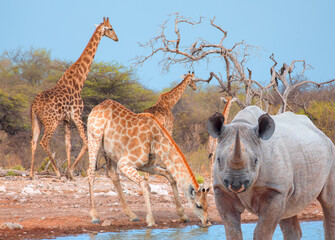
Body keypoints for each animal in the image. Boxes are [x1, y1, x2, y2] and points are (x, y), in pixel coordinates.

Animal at [30, 16, 119, 180]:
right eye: (111, 28)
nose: (117, 38)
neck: (79, 81)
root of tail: (34, 105)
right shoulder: (76, 115)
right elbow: (85, 143)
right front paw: (70, 172)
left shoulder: (66, 119)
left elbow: (68, 145)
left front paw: (70, 173)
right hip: (51, 122)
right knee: (43, 142)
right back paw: (57, 172)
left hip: (36, 120)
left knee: (33, 141)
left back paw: (32, 174)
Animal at [86, 99, 210, 227]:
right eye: (199, 205)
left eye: (208, 205)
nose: (207, 222)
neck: (155, 141)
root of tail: (97, 107)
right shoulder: (124, 163)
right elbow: (145, 184)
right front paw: (150, 220)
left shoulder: (147, 165)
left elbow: (170, 176)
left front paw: (183, 215)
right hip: (94, 137)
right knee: (90, 171)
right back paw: (95, 216)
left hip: (111, 151)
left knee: (112, 173)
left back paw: (132, 215)